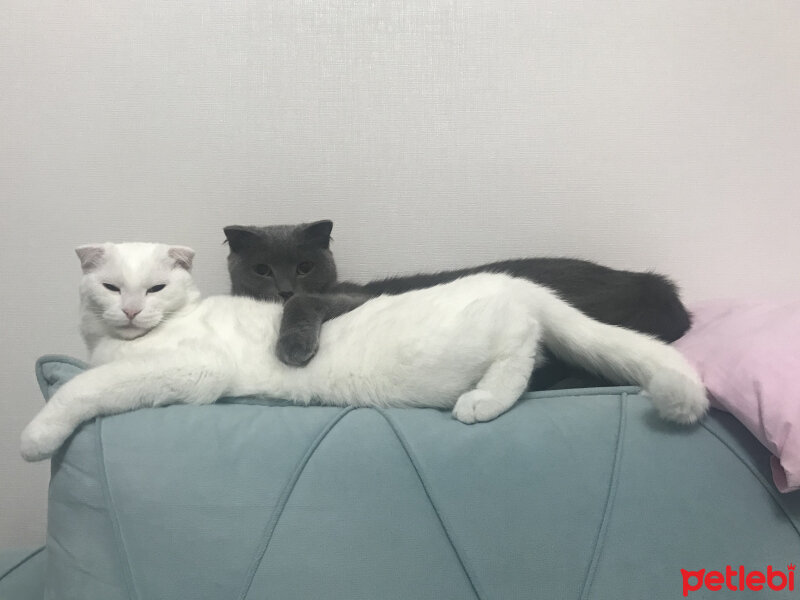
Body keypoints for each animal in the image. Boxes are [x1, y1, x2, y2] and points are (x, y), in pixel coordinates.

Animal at [18, 241, 708, 462]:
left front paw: (36, 437)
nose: (133, 310)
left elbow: (83, 388)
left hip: (489, 339)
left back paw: (481, 402)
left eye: (155, 288)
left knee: (521, 356)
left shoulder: (188, 371)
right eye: (112, 289)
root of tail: (519, 282)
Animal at [222, 220, 692, 390]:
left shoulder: (356, 297)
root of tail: (651, 283)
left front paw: (292, 346)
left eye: (303, 266)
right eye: (262, 269)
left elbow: (309, 302)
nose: (283, 289)